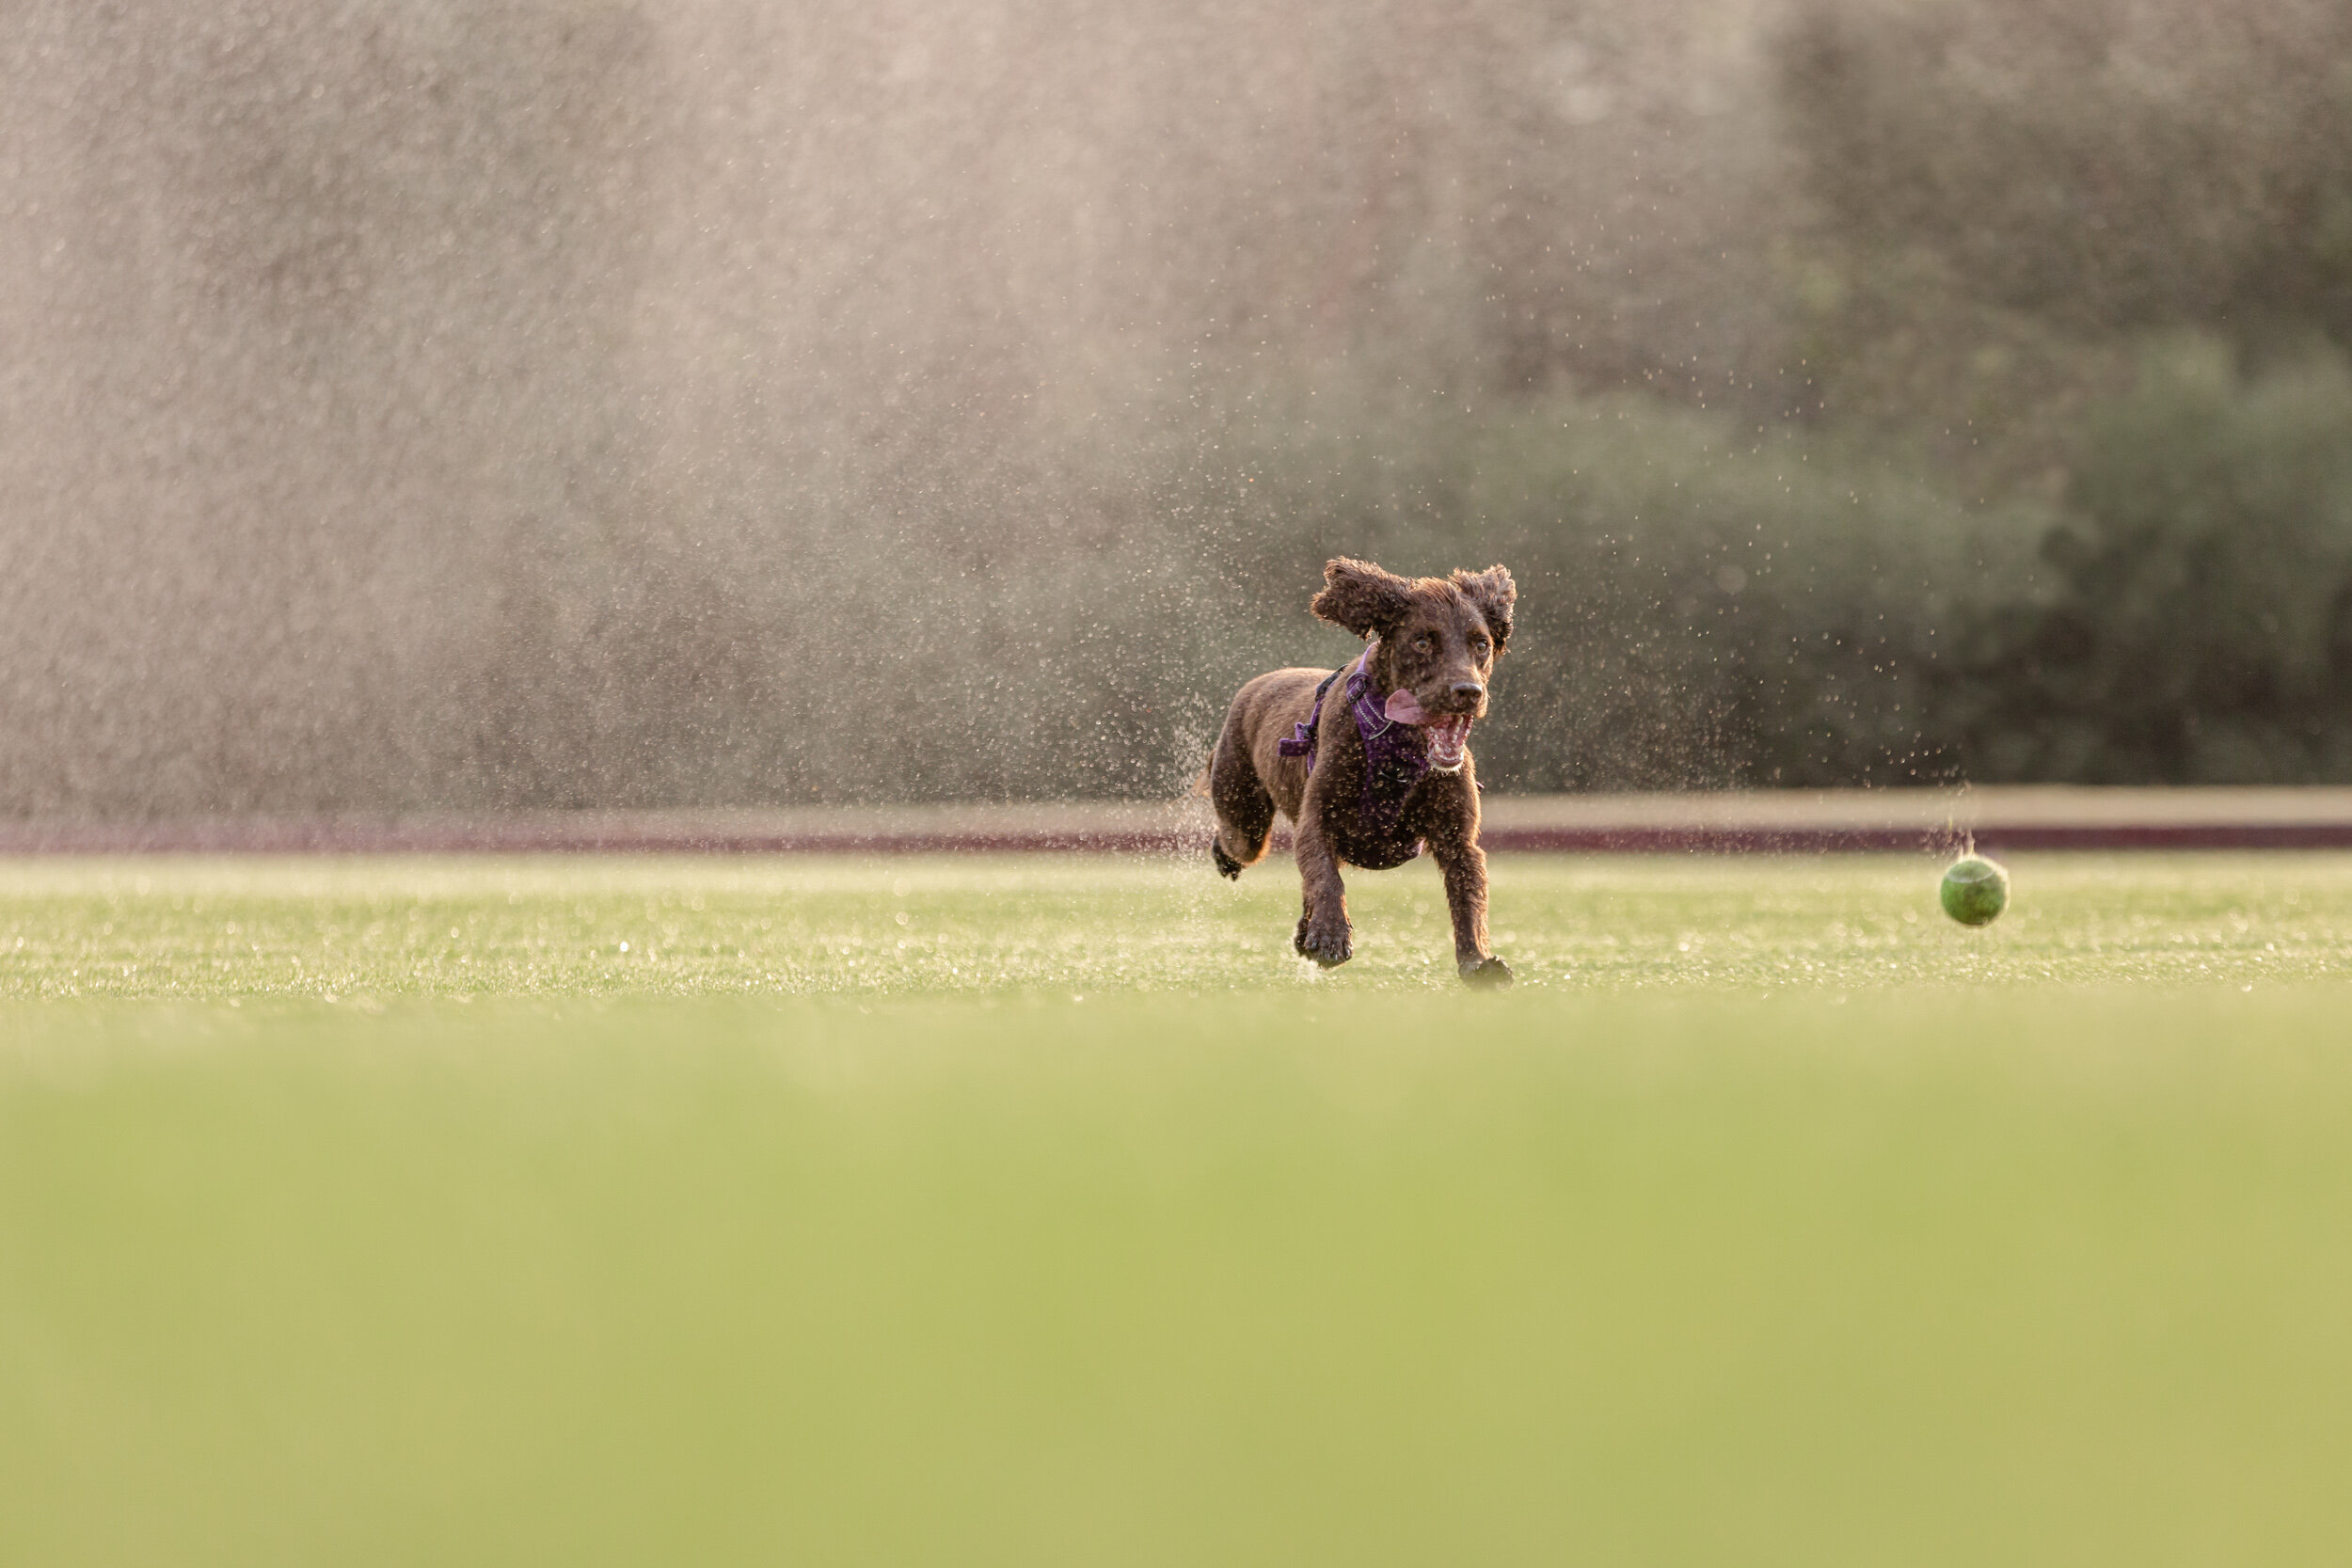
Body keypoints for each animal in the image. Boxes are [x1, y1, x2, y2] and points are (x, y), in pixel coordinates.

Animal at [1204, 557, 1515, 987]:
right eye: (1422, 642)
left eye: (1481, 644)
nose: (1468, 691)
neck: (1398, 748)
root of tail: (1255, 684)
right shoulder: (1317, 817)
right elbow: (1325, 877)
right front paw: (1331, 937)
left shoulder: (1457, 838)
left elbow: (1468, 898)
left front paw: (1479, 962)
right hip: (1244, 817)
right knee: (1239, 842)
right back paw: (1229, 861)